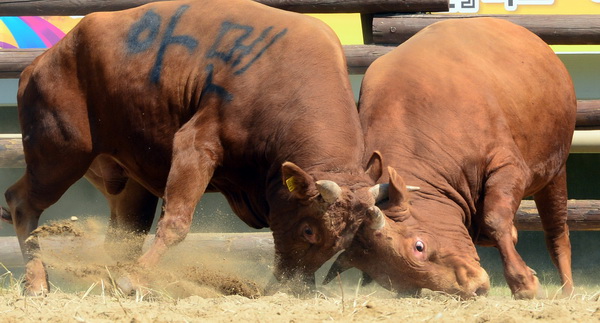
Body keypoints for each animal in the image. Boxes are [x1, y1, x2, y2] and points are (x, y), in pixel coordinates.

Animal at [3, 0, 384, 294]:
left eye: (345, 240)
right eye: (308, 230)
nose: (294, 290)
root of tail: (42, 61)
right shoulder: (196, 146)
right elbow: (176, 223)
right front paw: (133, 280)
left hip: (127, 185)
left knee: (122, 235)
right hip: (59, 155)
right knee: (21, 202)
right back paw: (38, 282)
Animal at [326, 17, 580, 300]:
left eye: (419, 246)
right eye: (400, 284)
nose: (472, 288)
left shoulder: (509, 168)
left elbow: (495, 219)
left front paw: (524, 282)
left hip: (555, 171)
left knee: (556, 230)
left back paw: (568, 289)